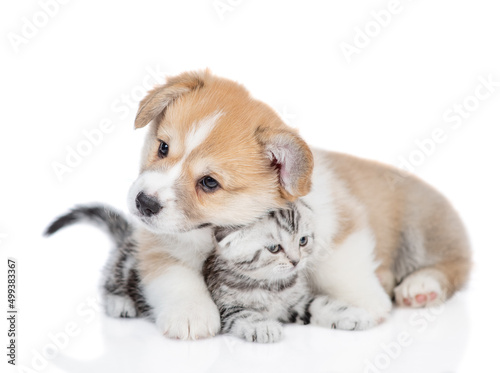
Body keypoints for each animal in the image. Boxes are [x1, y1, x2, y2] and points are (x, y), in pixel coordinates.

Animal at [203, 201, 376, 342]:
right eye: (274, 248)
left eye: (303, 241)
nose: (296, 261)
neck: (271, 286)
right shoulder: (226, 307)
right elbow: (245, 314)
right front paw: (264, 327)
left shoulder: (298, 301)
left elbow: (320, 304)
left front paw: (353, 315)